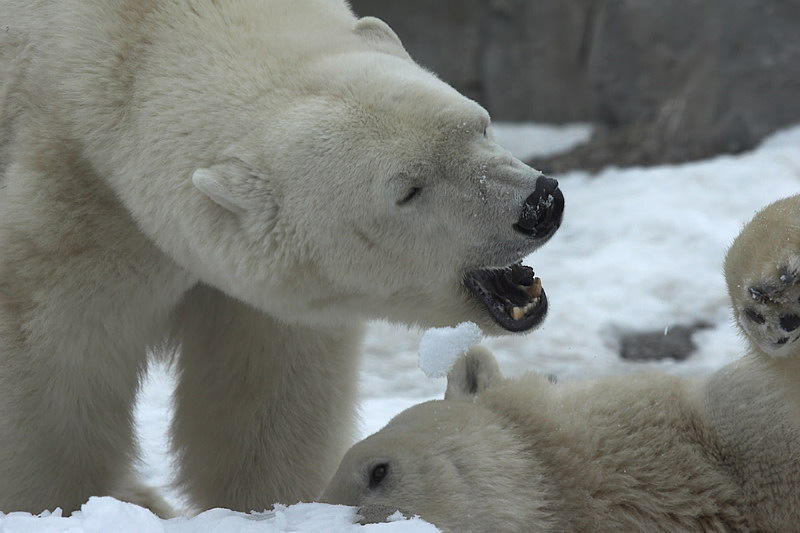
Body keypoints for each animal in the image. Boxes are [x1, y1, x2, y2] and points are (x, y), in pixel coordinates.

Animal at [0, 0, 564, 516]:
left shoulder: (264, 293)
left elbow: (268, 394)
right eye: (409, 189)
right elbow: (52, 376)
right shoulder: (77, 200)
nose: (540, 204)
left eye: (480, 125)